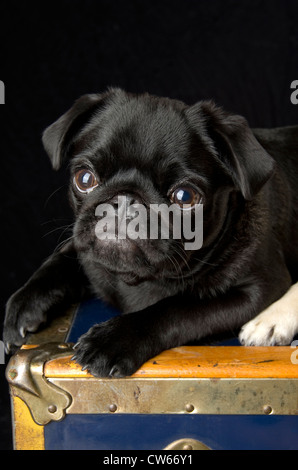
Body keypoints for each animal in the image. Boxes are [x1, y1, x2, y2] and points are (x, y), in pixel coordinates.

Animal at [3, 87, 298, 374]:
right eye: (84, 178)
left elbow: (178, 308)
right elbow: (58, 261)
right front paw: (25, 303)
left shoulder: (259, 289)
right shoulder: (83, 249)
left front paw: (113, 340)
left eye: (185, 196)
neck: (138, 279)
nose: (125, 200)